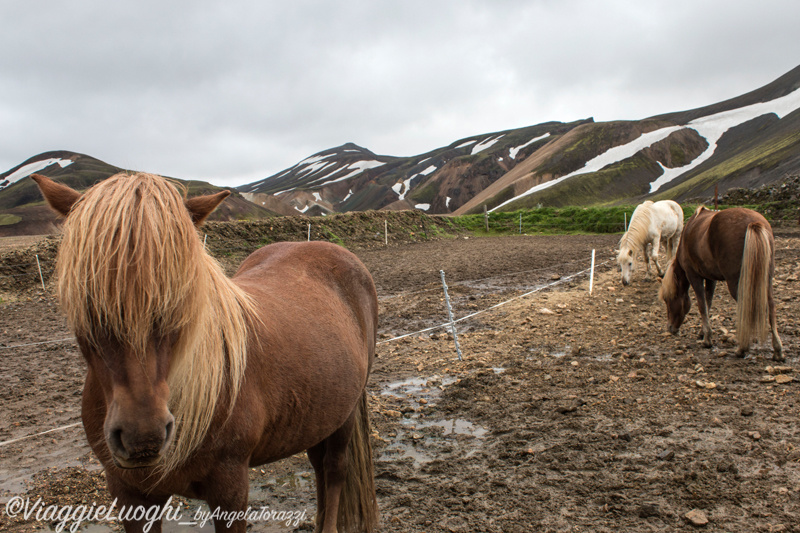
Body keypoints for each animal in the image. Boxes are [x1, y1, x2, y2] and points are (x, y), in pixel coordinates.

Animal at [32, 172, 380, 528]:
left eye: (180, 296)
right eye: (87, 295)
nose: (142, 436)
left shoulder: (229, 489)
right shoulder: (129, 494)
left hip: (344, 417)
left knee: (334, 471)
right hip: (318, 415)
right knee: (318, 466)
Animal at [660, 206, 784, 360]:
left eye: (668, 299)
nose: (670, 328)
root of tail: (753, 223)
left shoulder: (694, 275)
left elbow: (702, 305)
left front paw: (707, 339)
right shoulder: (710, 278)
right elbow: (708, 303)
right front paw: (702, 333)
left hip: (736, 283)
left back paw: (742, 348)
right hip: (766, 279)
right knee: (771, 306)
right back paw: (777, 350)